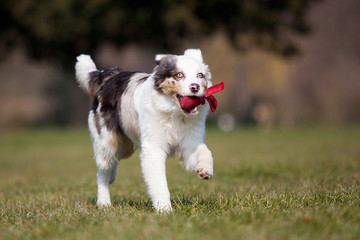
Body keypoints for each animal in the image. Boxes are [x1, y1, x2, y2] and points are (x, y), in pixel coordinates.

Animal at [74, 48, 212, 212]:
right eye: (179, 75)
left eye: (200, 75)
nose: (195, 87)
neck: (175, 113)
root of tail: (109, 74)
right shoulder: (153, 148)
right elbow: (159, 181)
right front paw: (164, 209)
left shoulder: (190, 142)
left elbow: (204, 151)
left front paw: (205, 169)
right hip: (108, 143)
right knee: (102, 172)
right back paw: (104, 203)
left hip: (125, 147)